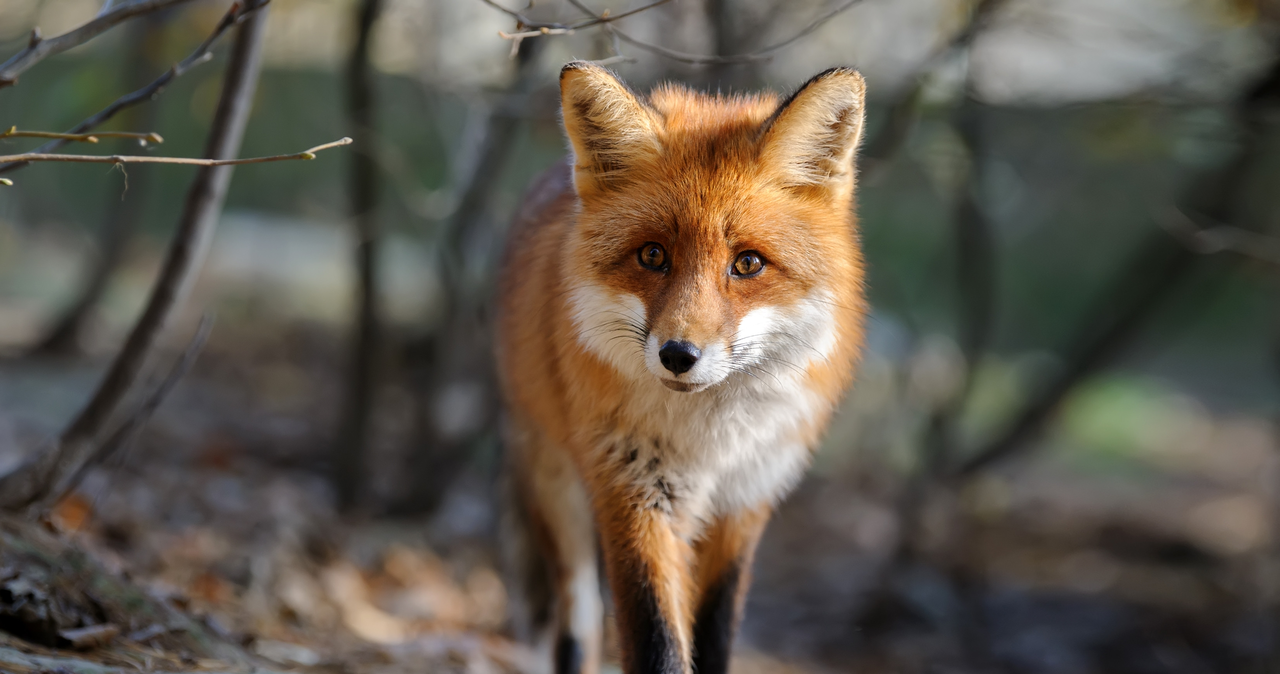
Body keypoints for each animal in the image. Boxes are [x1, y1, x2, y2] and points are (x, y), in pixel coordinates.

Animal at [491, 63, 870, 674]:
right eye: (653, 255)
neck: (709, 443)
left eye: (748, 263)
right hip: (556, 487)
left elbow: (713, 635)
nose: (678, 355)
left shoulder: (743, 504)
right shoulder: (633, 494)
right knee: (577, 622)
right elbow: (657, 642)